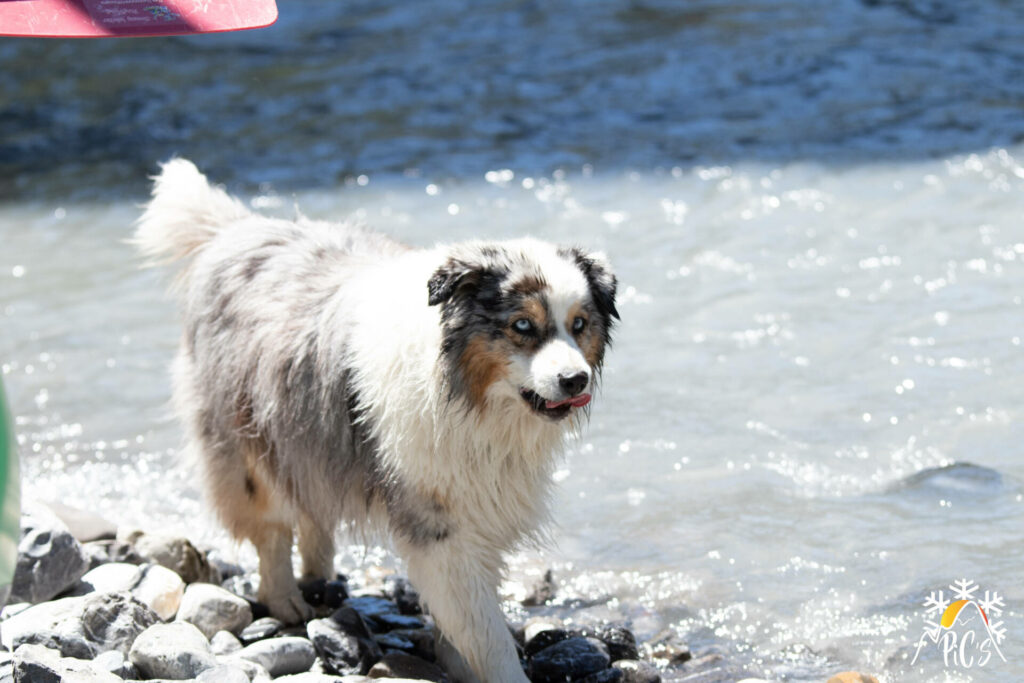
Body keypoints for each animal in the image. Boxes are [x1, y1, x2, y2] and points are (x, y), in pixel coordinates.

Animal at [135, 161, 614, 683]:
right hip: (246, 440)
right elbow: (483, 626)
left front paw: (455, 663)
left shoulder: (477, 504)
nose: (574, 380)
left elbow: (463, 619)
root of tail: (239, 228)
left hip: (307, 435)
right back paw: (285, 600)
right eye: (522, 326)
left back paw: (319, 574)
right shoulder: (436, 520)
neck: (466, 395)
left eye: (580, 324)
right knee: (271, 526)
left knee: (313, 508)